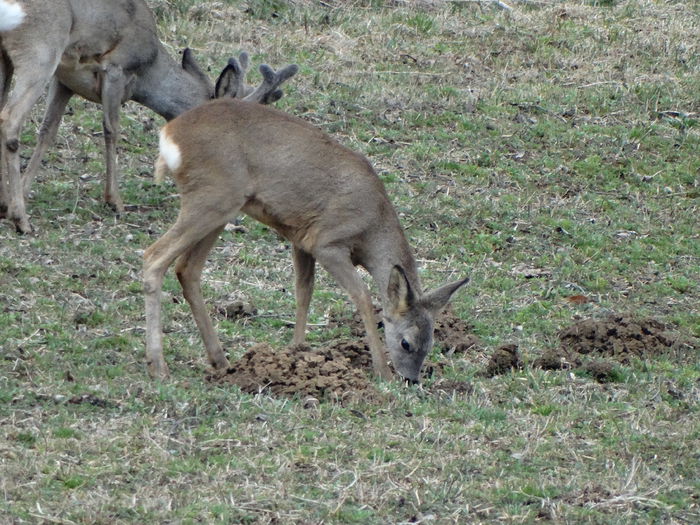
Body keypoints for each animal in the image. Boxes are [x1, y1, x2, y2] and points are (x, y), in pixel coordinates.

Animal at [0, 0, 296, 233]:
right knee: (10, 117)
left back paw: (8, 204)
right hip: (42, 48)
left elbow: (47, 131)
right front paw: (115, 201)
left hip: (10, 58)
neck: (148, 72)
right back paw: (21, 221)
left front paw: (20, 192)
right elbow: (111, 130)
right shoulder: (115, 68)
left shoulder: (65, 81)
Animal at [144, 98, 468, 382]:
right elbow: (362, 297)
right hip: (213, 197)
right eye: (406, 343)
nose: (411, 379)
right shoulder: (327, 242)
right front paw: (382, 373)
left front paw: (297, 352)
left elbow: (304, 291)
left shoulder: (301, 240)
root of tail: (169, 134)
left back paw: (220, 360)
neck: (372, 223)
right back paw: (159, 367)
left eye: (431, 342)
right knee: (154, 257)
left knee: (187, 269)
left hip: (221, 206)